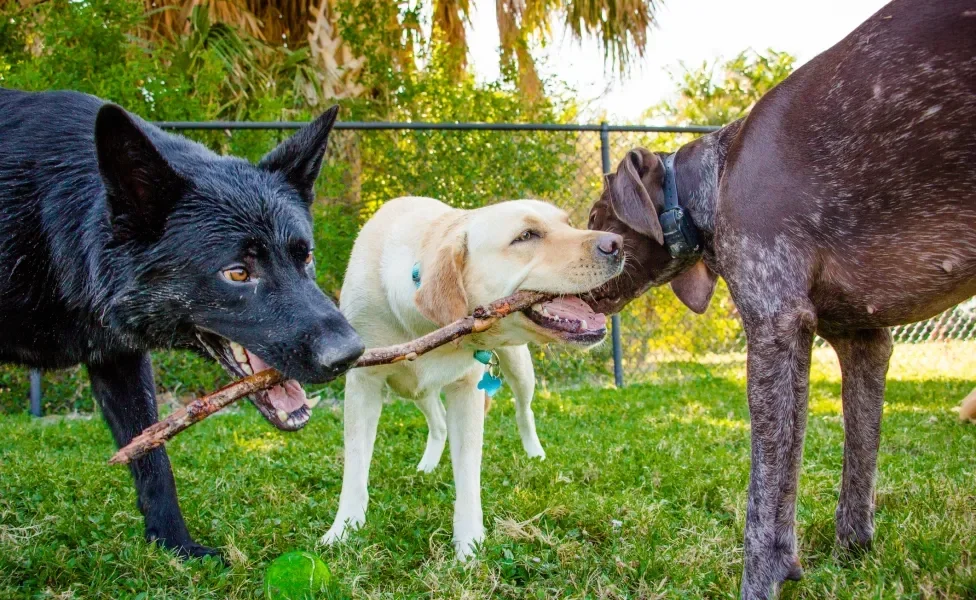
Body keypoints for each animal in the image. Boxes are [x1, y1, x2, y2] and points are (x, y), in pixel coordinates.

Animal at [0, 89, 366, 556]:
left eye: (306, 256)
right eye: (237, 273)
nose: (350, 354)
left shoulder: (119, 360)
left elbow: (152, 457)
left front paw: (176, 546)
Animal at [584, 2, 972, 596]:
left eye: (593, 216)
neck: (714, 181)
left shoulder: (774, 326)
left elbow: (764, 497)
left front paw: (762, 578)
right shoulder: (863, 339)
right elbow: (852, 468)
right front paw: (847, 557)